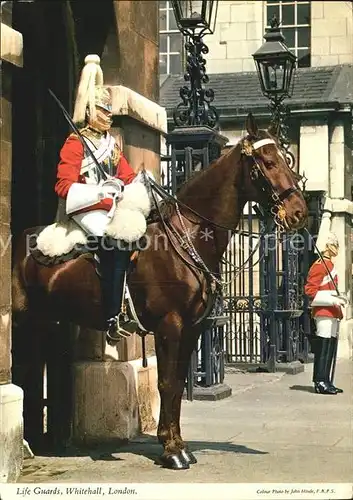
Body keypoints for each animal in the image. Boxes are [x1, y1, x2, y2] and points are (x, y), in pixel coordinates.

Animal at [12, 113, 306, 468]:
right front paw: (172, 450)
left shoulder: (191, 329)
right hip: (21, 319)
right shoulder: (170, 326)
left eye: (288, 160)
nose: (299, 212)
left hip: (46, 323)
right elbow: (166, 383)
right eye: (268, 161)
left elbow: (177, 384)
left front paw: (177, 443)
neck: (186, 237)